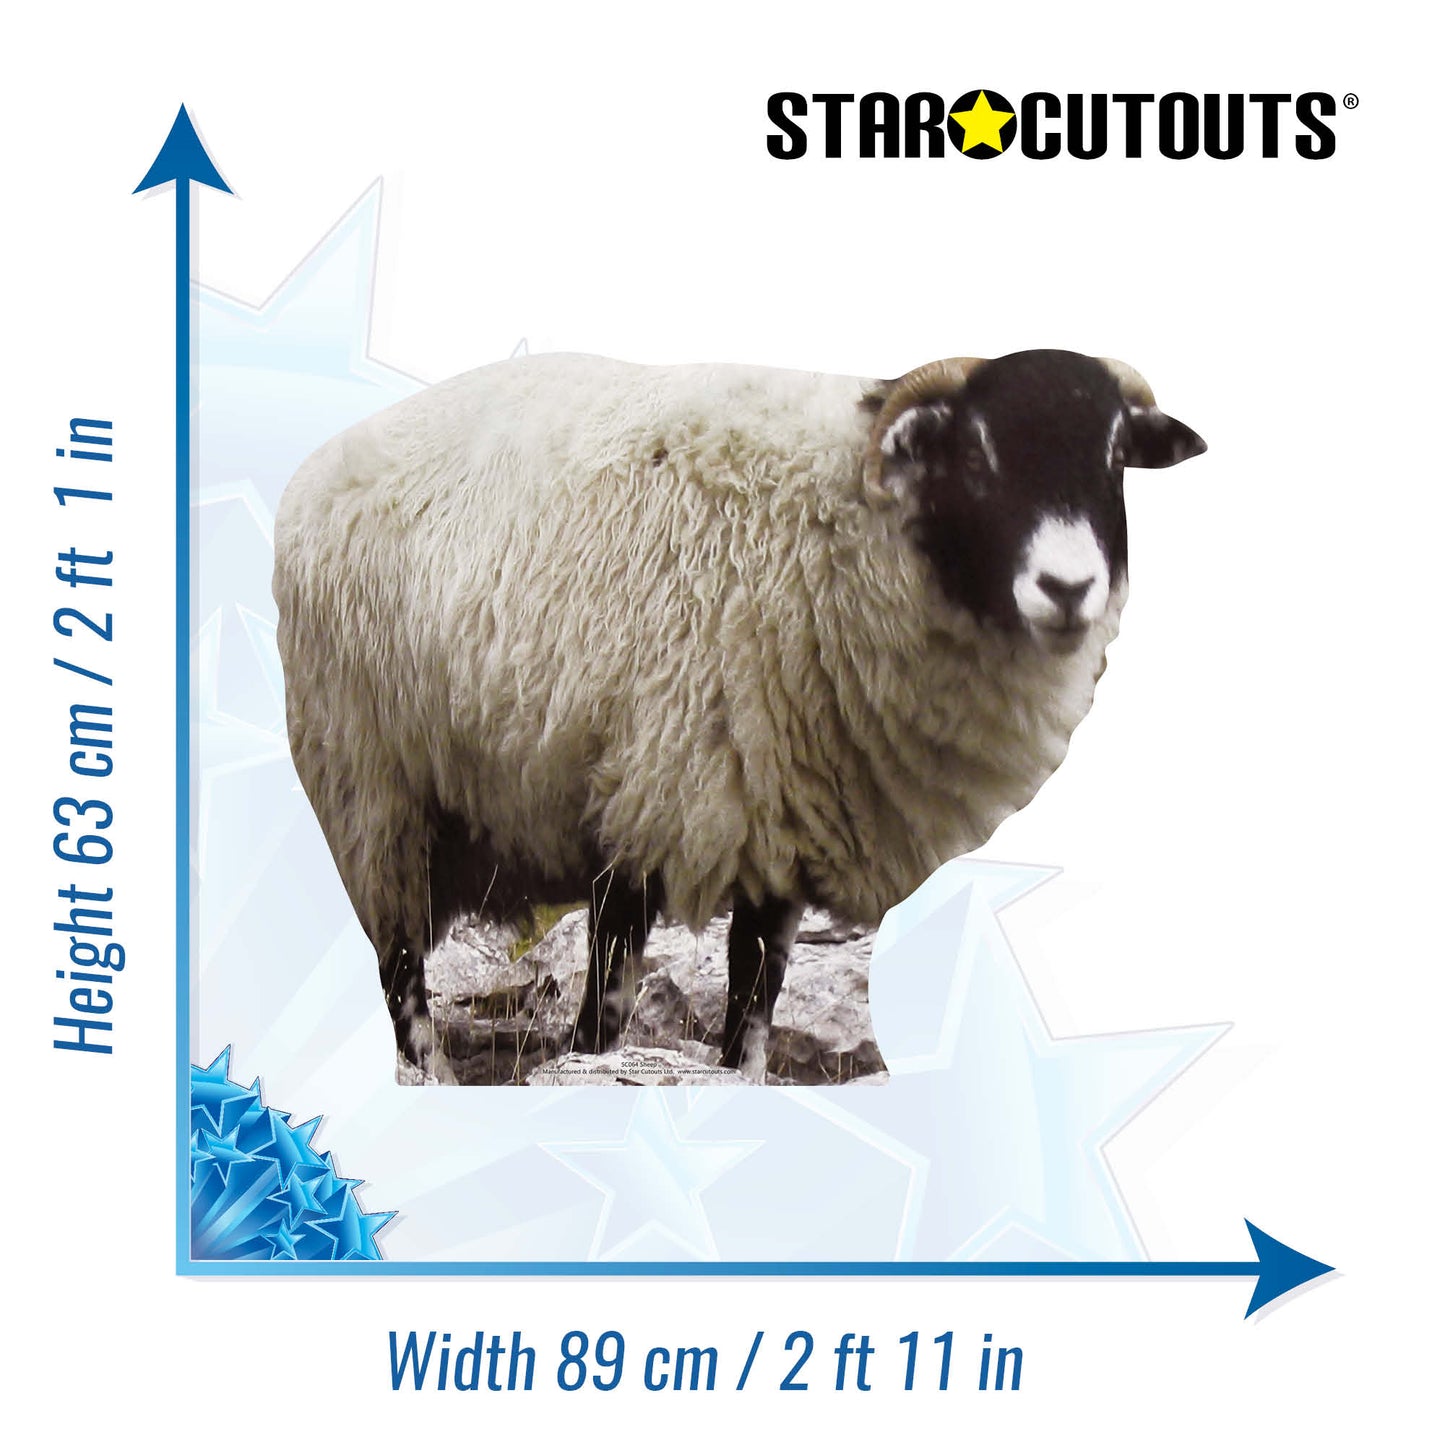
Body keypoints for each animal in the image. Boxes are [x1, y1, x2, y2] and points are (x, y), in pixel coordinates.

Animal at [273, 349, 1205, 1084]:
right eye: (974, 453)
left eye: (1114, 456)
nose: (1068, 587)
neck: (846, 531)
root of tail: (323, 460)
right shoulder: (643, 788)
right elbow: (608, 999)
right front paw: (594, 1064)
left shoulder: (784, 817)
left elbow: (755, 996)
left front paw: (739, 1073)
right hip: (369, 784)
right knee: (398, 965)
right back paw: (427, 1070)